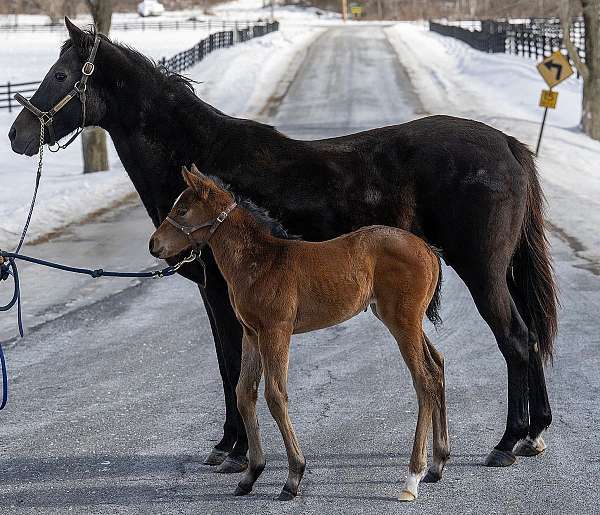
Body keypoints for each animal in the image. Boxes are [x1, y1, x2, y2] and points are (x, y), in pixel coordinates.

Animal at [150, 166, 450, 504]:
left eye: (182, 210)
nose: (154, 244)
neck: (260, 262)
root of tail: (428, 249)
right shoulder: (251, 334)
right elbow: (245, 393)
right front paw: (251, 475)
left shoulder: (276, 331)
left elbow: (275, 395)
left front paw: (293, 477)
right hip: (403, 320)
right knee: (437, 366)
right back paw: (437, 464)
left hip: (402, 321)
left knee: (423, 381)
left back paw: (412, 478)